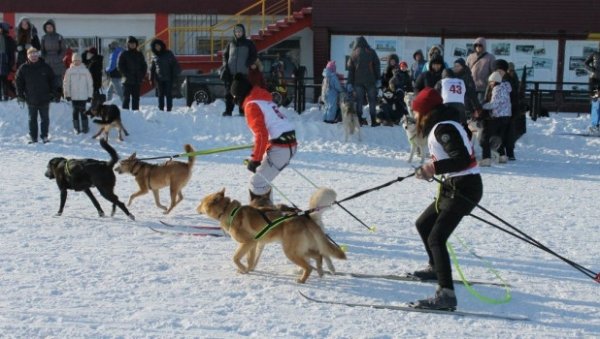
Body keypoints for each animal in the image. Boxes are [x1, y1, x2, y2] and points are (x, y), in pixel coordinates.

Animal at [197, 187, 346, 282]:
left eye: (201, 202)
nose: (195, 207)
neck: (228, 211)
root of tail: (304, 217)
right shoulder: (254, 244)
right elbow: (251, 260)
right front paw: (248, 270)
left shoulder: (248, 242)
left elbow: (235, 258)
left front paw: (243, 268)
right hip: (299, 248)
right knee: (318, 255)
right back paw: (321, 271)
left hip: (290, 251)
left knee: (309, 266)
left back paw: (302, 279)